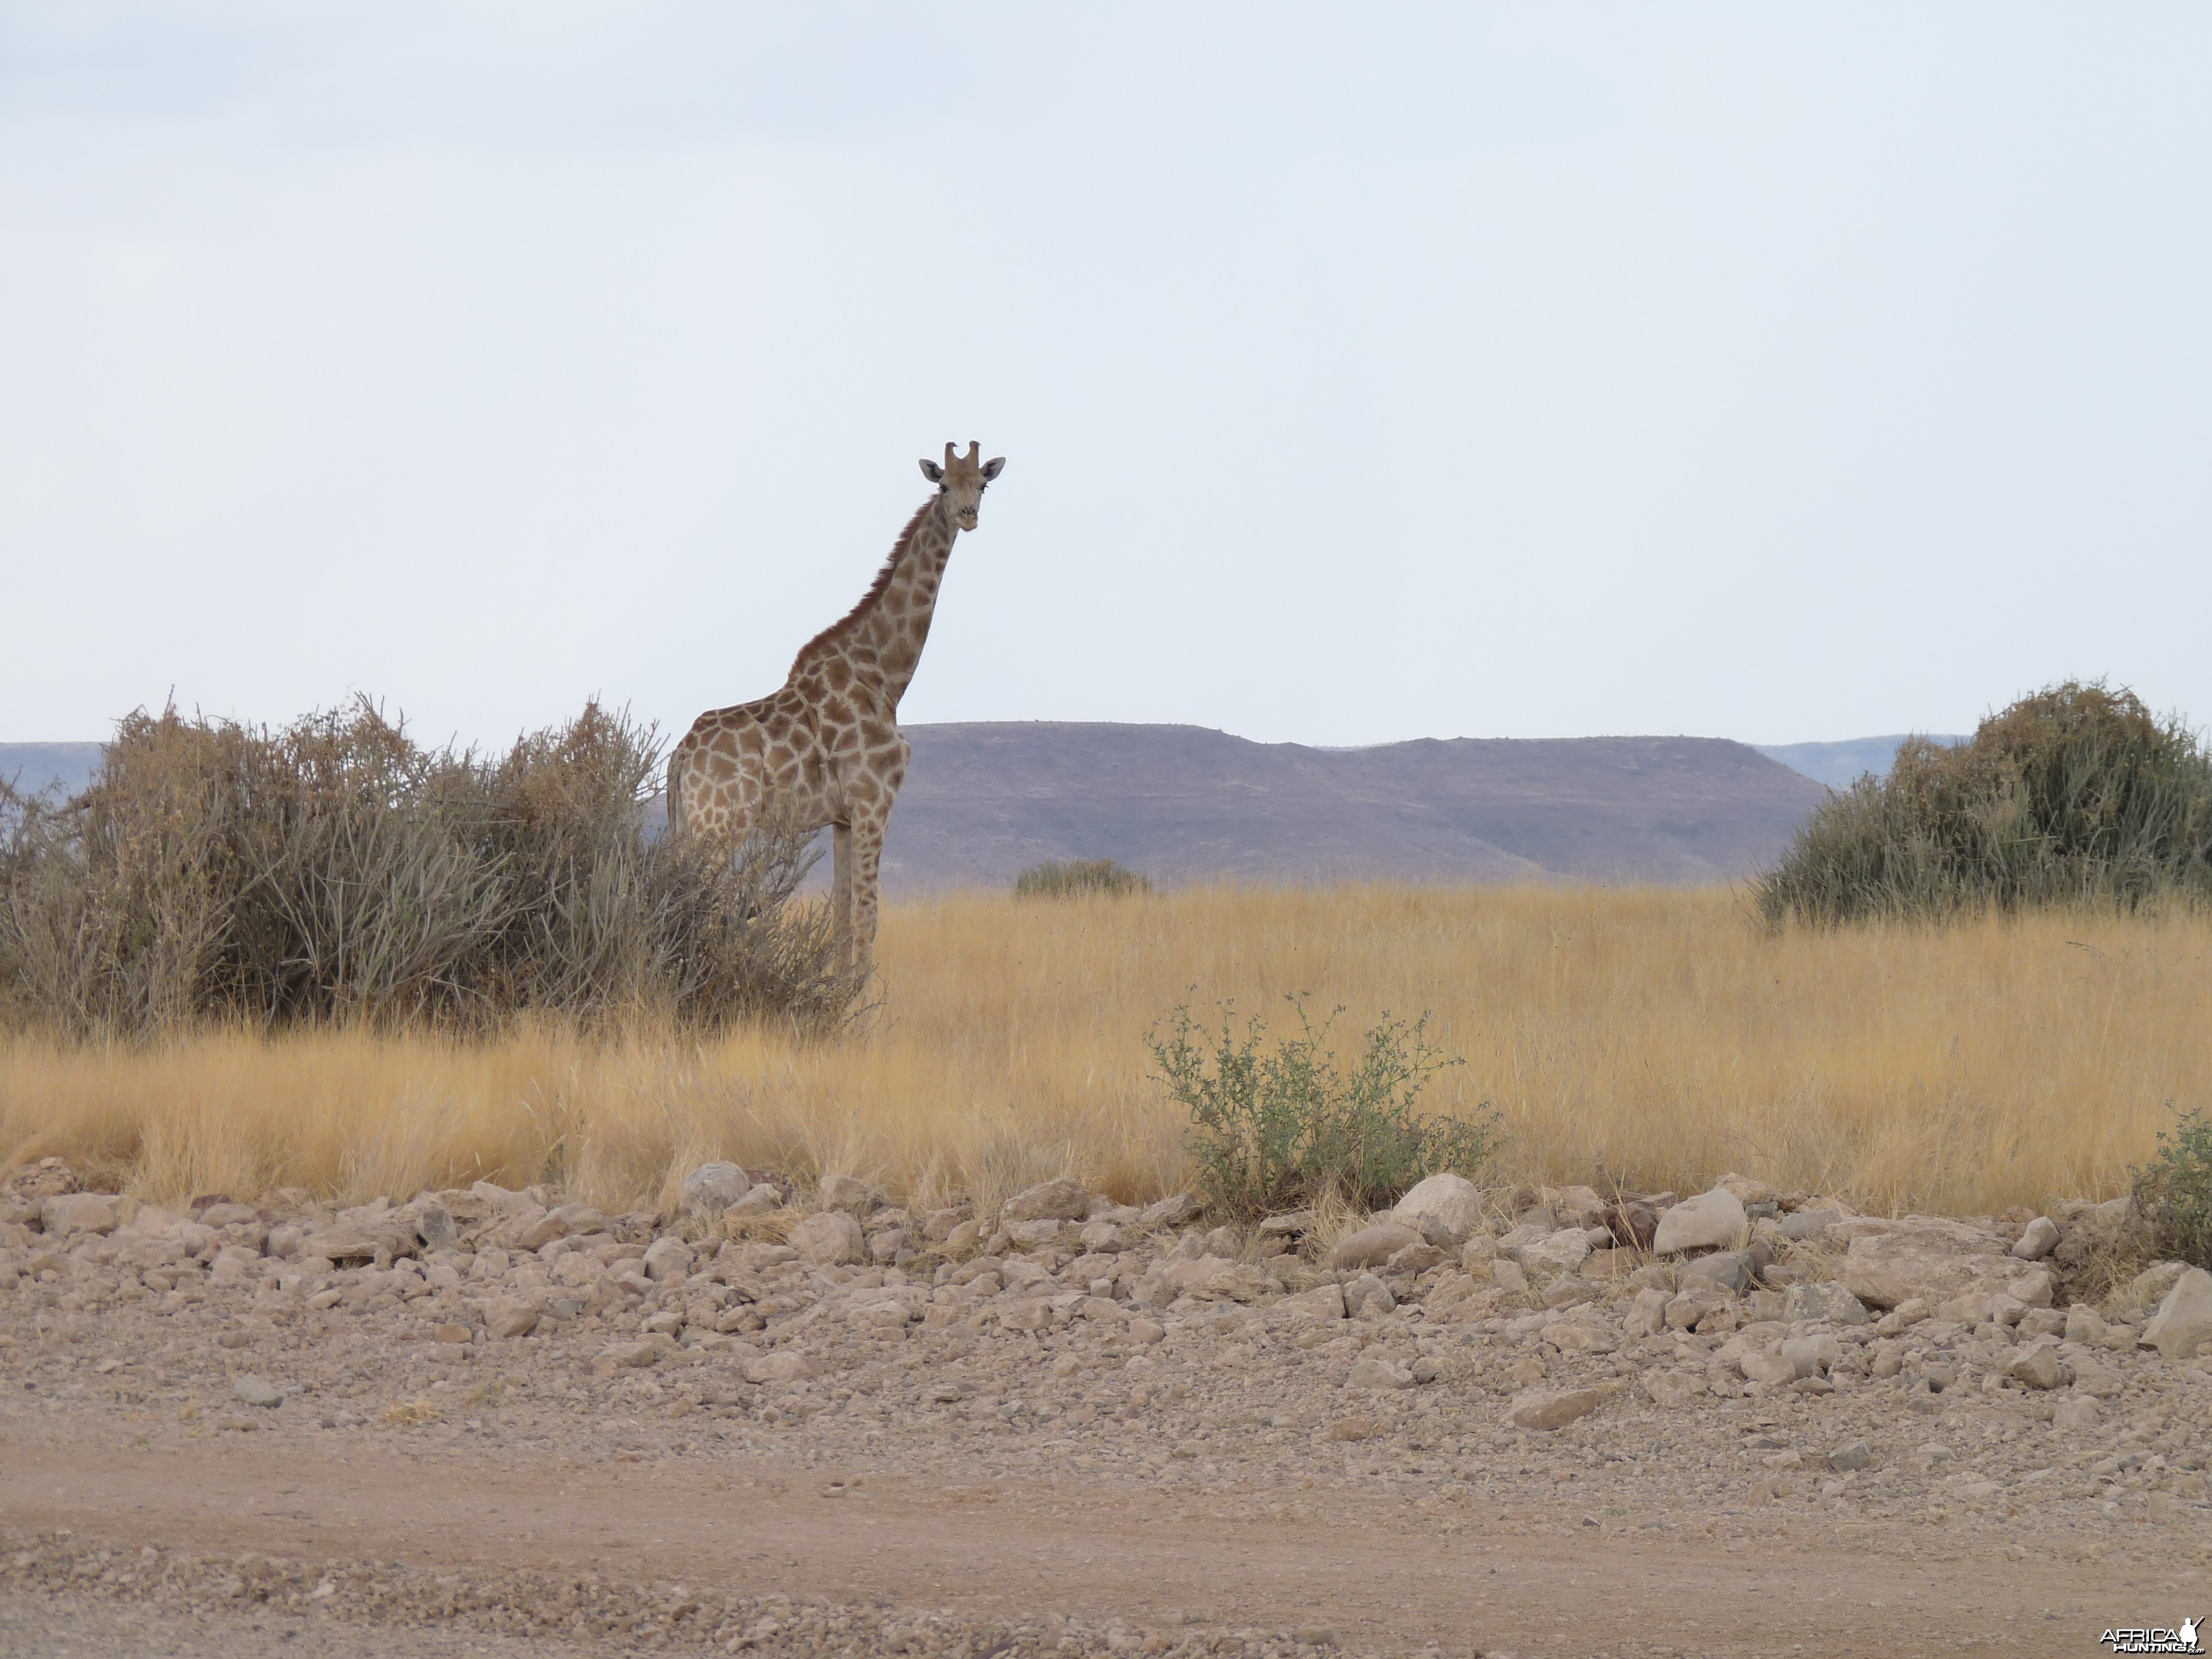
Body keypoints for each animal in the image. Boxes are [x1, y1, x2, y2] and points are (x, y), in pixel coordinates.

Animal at [654, 442, 1004, 973]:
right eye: (943, 485)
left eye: (982, 484)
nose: (968, 516)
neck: (887, 676)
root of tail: (679, 757)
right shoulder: (874, 801)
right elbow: (867, 920)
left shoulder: (841, 817)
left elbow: (841, 919)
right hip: (718, 827)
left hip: (689, 827)